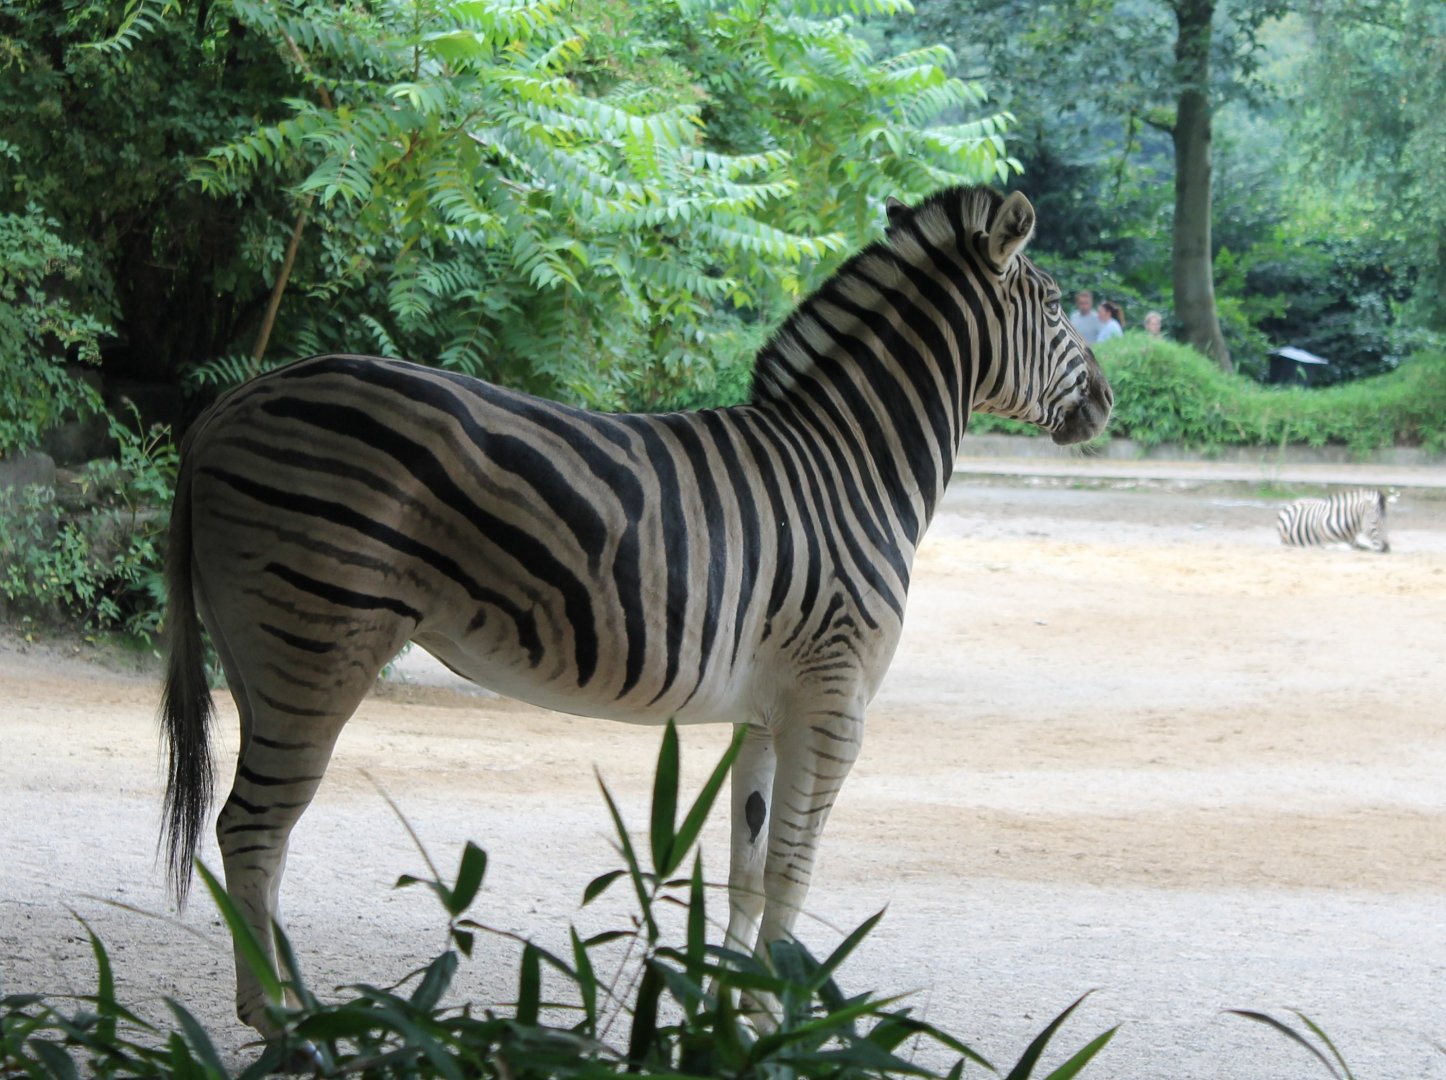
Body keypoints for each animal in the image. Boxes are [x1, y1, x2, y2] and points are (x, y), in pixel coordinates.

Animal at [158, 184, 1113, 1036]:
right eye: (1054, 306)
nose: (1108, 401)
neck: (851, 466)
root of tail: (230, 403)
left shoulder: (769, 711)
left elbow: (748, 869)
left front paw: (729, 1020)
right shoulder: (836, 702)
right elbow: (796, 870)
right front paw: (778, 1020)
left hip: (258, 652)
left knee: (262, 833)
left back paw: (299, 1005)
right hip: (319, 640)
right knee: (253, 826)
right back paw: (281, 1020)